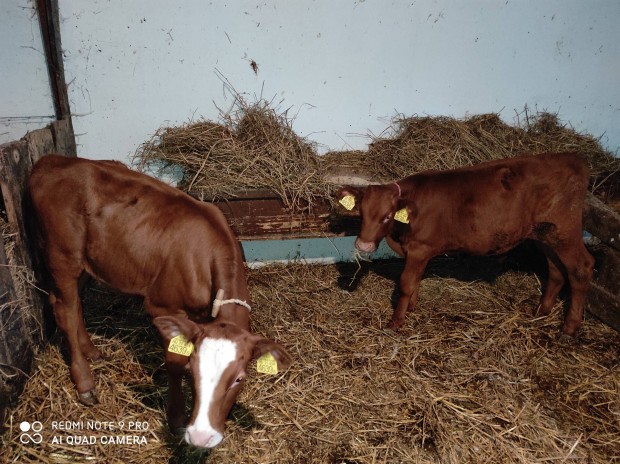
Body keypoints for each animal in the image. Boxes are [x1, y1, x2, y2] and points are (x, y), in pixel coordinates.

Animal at [28, 154, 290, 448]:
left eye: (239, 379)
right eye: (192, 372)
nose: (202, 436)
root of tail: (50, 161)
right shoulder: (162, 306)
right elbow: (174, 361)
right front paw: (176, 418)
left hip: (88, 260)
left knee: (72, 305)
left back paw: (91, 350)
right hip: (62, 256)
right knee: (65, 308)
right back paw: (85, 383)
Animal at [340, 153, 596, 338]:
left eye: (387, 216)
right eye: (362, 213)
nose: (363, 245)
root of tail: (572, 158)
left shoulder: (420, 249)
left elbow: (405, 284)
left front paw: (396, 322)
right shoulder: (419, 253)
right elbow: (415, 281)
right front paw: (411, 308)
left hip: (565, 231)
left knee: (581, 268)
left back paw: (569, 328)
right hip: (546, 234)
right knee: (556, 270)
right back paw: (541, 311)